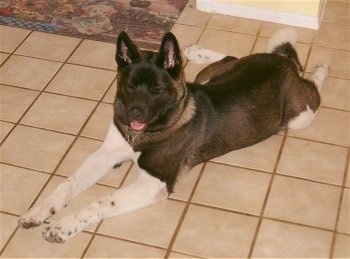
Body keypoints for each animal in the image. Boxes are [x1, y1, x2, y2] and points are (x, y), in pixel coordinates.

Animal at [17, 27, 328, 243]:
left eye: (156, 89)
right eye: (130, 85)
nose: (135, 114)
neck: (147, 132)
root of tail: (282, 63)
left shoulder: (155, 183)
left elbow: (102, 200)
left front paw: (63, 226)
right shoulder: (108, 152)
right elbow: (68, 183)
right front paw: (39, 209)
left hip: (300, 116)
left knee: (312, 86)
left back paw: (321, 69)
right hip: (209, 77)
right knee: (231, 57)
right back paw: (196, 50)